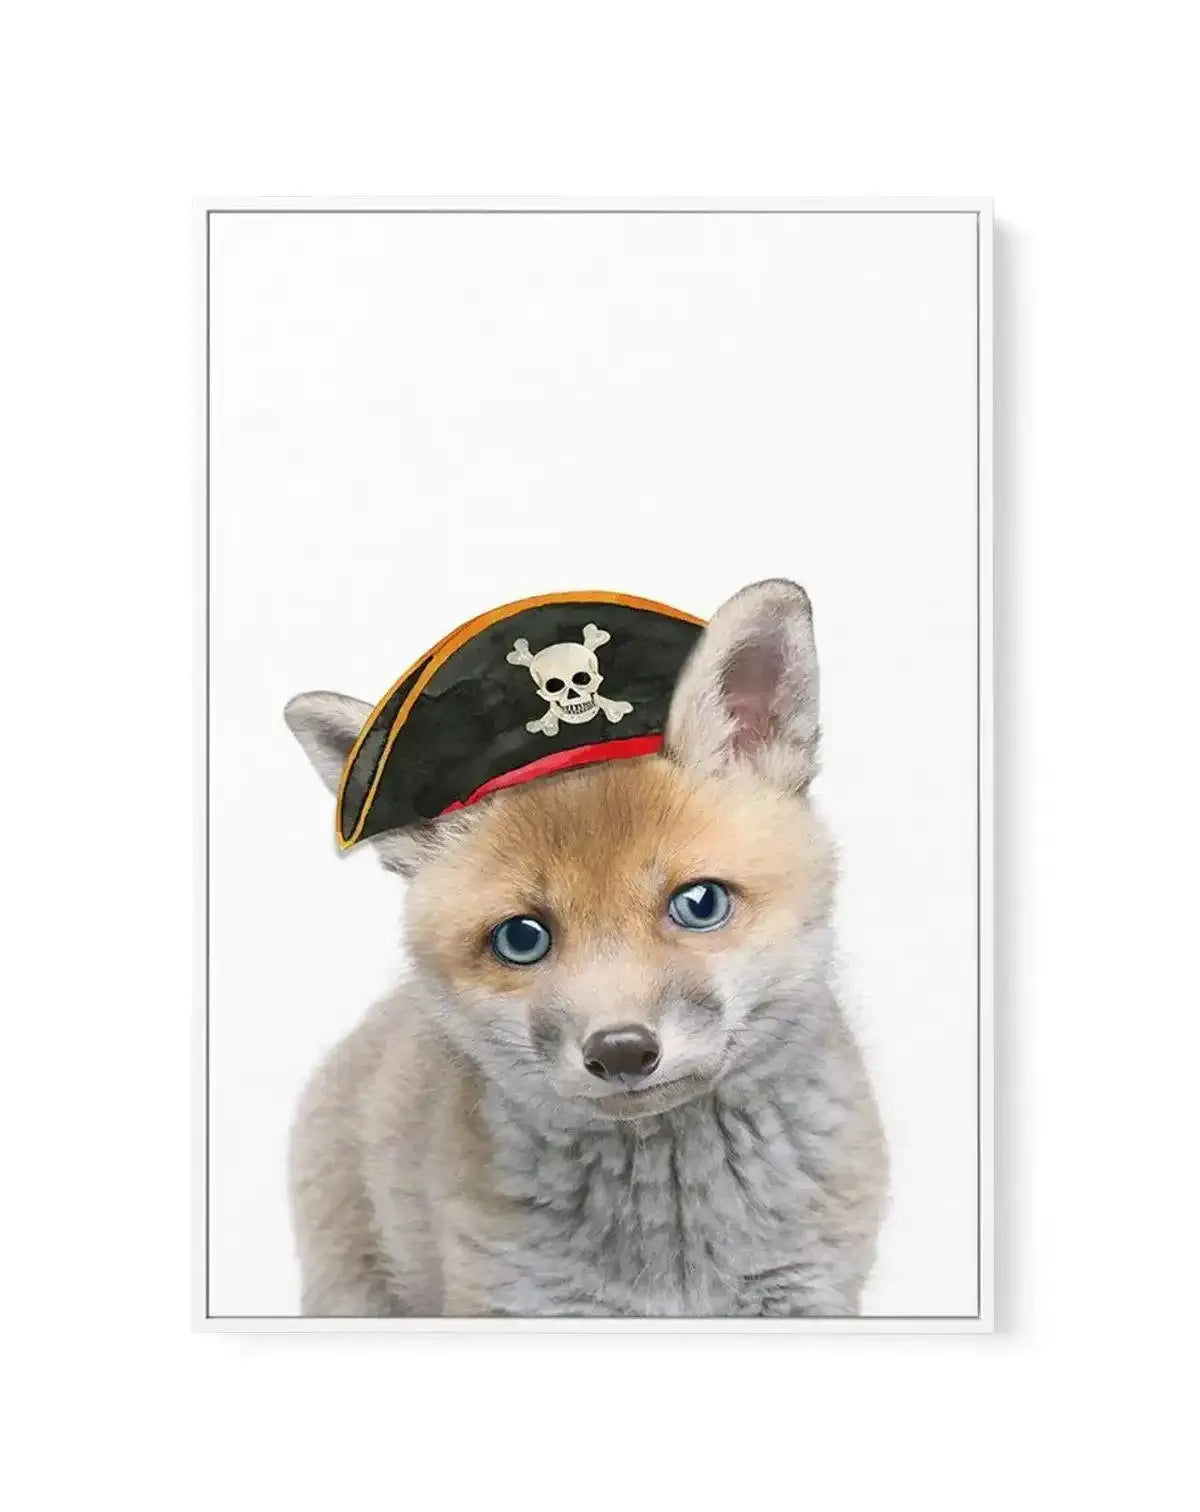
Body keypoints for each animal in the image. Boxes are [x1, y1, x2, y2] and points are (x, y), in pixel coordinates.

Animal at [284, 579, 887, 1317]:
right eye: (522, 938)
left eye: (701, 903)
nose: (621, 1051)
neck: (674, 1255)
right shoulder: (519, 1300)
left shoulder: (807, 1292)